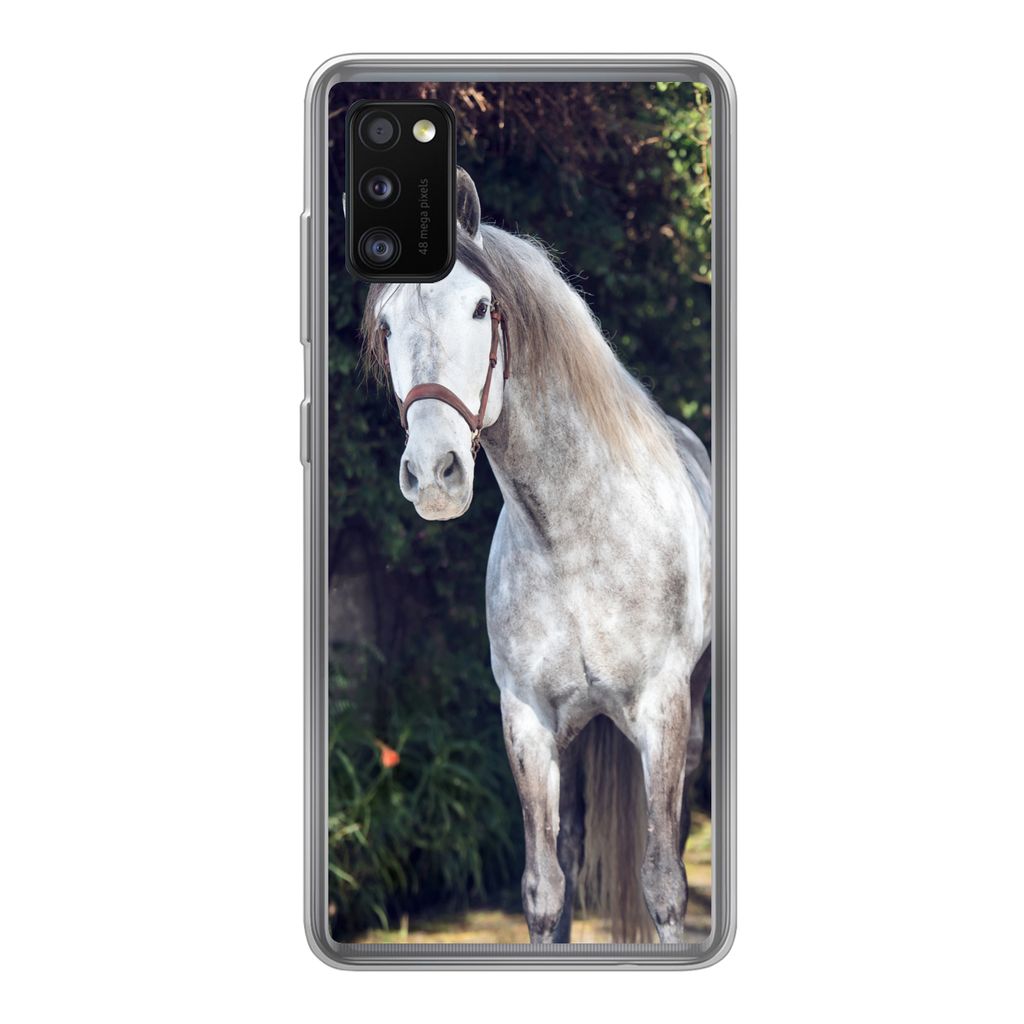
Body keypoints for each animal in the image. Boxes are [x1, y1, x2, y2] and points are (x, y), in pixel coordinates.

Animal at [361, 168, 712, 944]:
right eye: (388, 325)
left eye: (480, 307)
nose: (435, 474)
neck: (575, 539)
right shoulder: (527, 721)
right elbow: (544, 888)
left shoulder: (664, 710)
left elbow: (663, 883)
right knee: (573, 853)